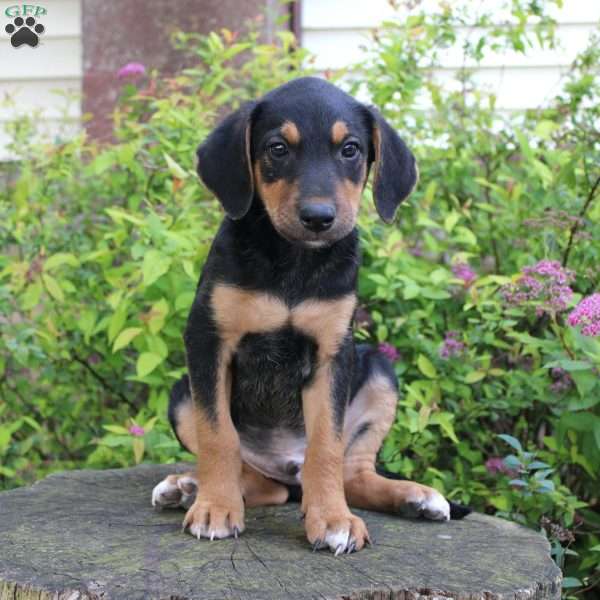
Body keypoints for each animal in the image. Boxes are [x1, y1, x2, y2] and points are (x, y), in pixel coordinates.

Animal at [151, 77, 454, 556]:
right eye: (277, 148)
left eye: (350, 149)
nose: (318, 217)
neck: (293, 261)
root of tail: (285, 465)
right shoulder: (207, 340)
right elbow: (219, 436)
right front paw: (215, 508)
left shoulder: (333, 352)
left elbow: (326, 445)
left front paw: (332, 519)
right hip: (183, 393)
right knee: (260, 481)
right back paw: (189, 487)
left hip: (379, 371)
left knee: (350, 472)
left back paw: (416, 497)